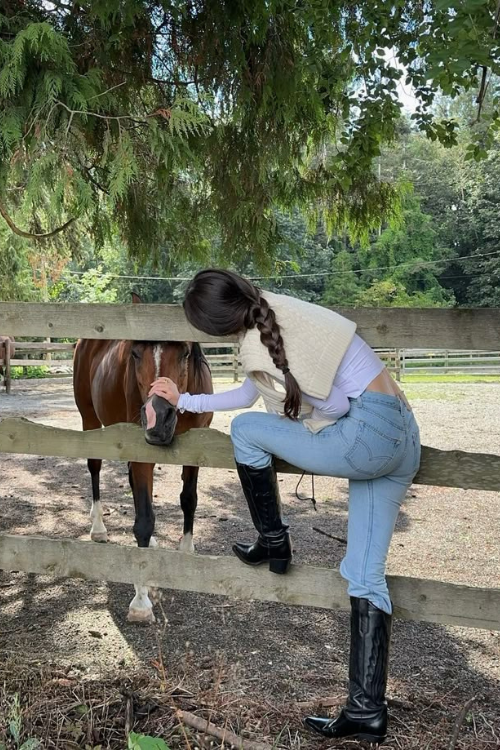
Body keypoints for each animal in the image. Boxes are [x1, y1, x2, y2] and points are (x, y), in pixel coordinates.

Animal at [73, 294, 213, 624]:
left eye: (185, 352)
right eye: (135, 353)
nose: (156, 418)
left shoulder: (197, 448)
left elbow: (189, 499)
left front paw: (186, 553)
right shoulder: (142, 454)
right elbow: (144, 521)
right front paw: (140, 601)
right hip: (89, 419)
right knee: (95, 467)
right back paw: (98, 528)